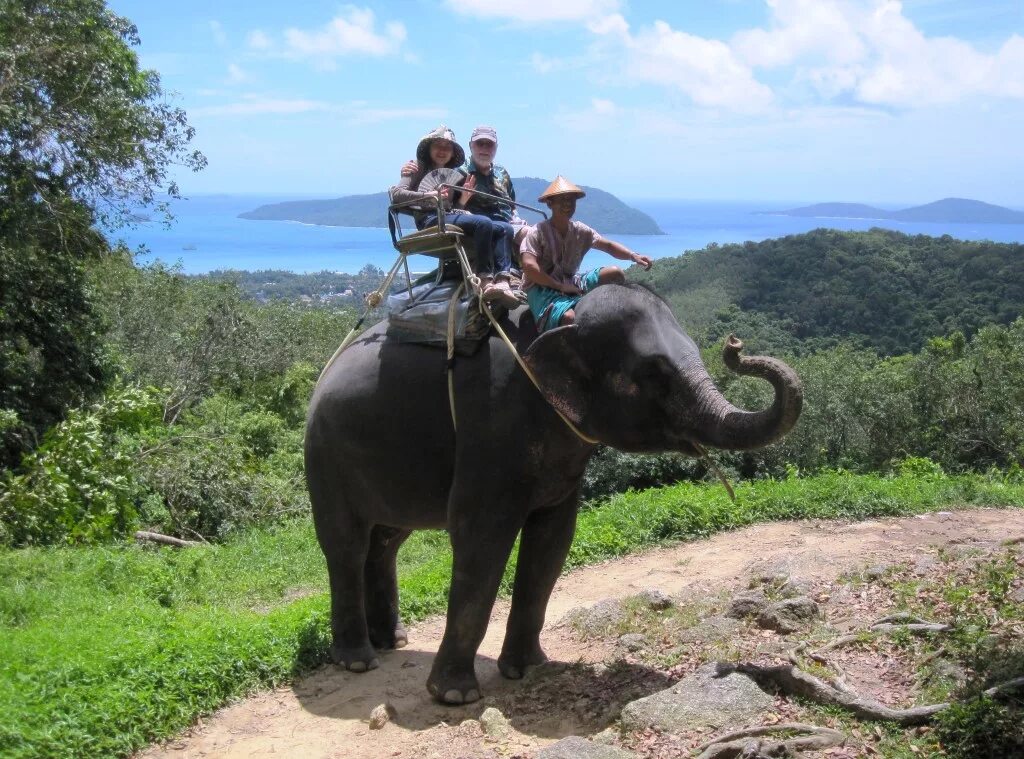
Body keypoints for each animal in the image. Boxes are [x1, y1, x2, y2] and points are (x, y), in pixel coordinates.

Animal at [303, 282, 798, 704]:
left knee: (386, 541)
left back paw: (393, 641)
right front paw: (455, 696)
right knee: (346, 545)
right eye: (654, 374)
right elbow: (481, 542)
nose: (735, 346)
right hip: (324, 456)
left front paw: (528, 670)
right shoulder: (491, 424)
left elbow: (553, 541)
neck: (562, 320)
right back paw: (358, 661)